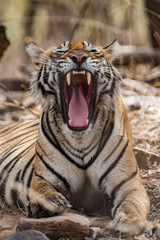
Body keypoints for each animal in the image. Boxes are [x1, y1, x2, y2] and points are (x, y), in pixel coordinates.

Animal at [0, 40, 156, 236]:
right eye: (61, 51)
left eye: (93, 51)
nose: (79, 57)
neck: (81, 137)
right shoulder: (43, 178)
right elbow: (41, 191)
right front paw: (45, 204)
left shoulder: (129, 182)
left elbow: (131, 204)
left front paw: (133, 223)